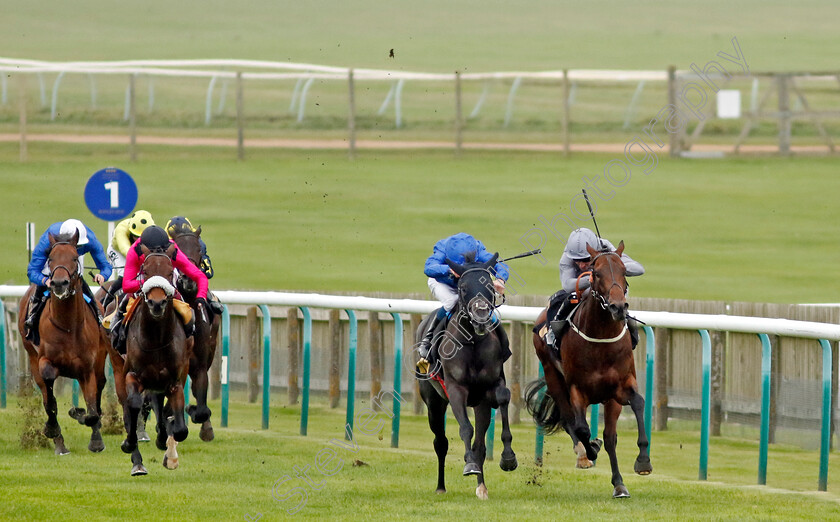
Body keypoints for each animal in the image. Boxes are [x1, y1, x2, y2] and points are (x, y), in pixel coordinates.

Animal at [16, 230, 109, 452]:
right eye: (50, 259)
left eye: (75, 258)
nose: (58, 283)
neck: (68, 326)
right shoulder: (45, 361)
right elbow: (50, 400)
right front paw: (52, 429)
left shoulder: (87, 368)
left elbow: (92, 409)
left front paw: (94, 437)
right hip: (31, 356)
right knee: (46, 395)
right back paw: (60, 444)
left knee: (99, 386)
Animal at [118, 244, 192, 476]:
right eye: (145, 270)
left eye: (170, 273)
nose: (157, 303)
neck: (156, 338)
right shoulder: (132, 375)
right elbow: (133, 404)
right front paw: (129, 443)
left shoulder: (175, 382)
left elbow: (180, 429)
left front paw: (168, 450)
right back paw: (137, 461)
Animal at [416, 250, 516, 498]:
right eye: (462, 287)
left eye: (489, 285)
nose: (481, 316)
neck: (473, 341)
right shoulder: (455, 389)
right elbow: (464, 428)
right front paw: (468, 464)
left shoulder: (493, 384)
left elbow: (503, 398)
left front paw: (508, 458)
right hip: (433, 402)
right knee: (440, 442)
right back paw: (441, 486)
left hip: (480, 404)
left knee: (479, 444)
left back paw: (482, 487)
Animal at [528, 240, 652, 496]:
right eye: (596, 273)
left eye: (624, 270)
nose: (618, 307)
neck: (600, 340)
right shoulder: (578, 390)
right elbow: (582, 428)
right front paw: (590, 449)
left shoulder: (621, 387)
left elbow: (637, 404)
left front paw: (643, 461)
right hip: (553, 376)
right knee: (570, 420)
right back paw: (583, 453)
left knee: (610, 436)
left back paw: (619, 484)